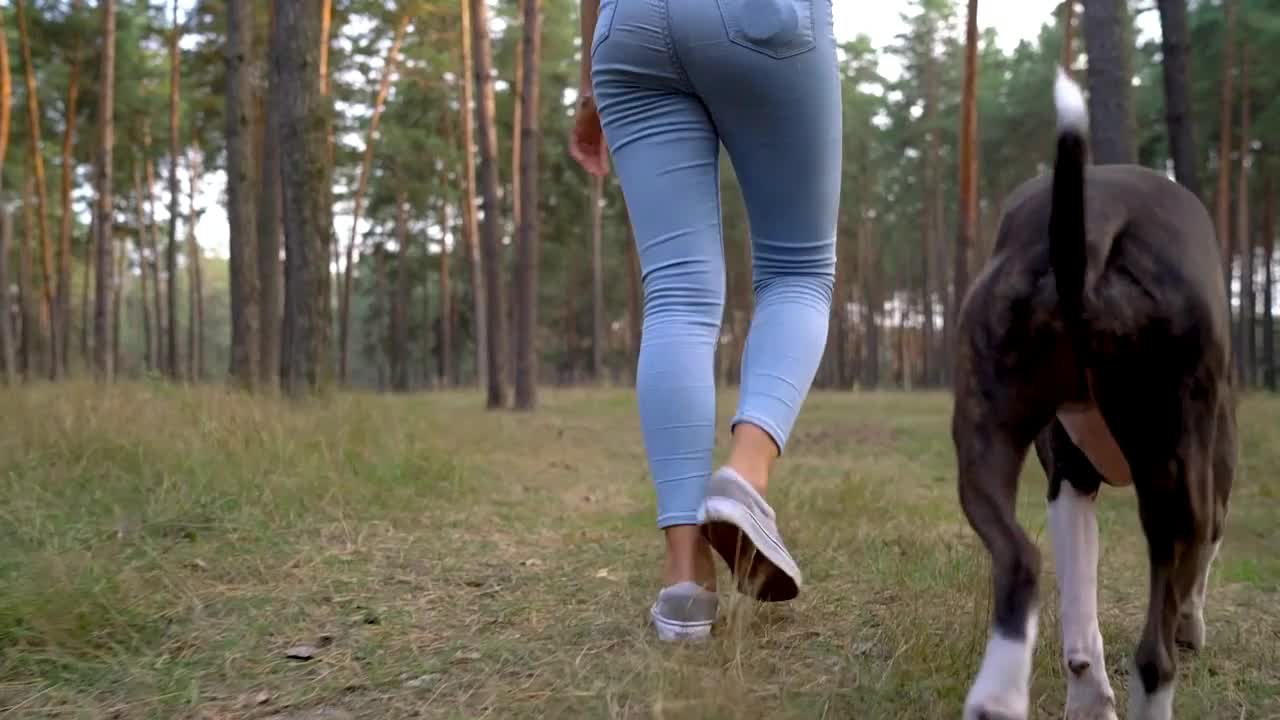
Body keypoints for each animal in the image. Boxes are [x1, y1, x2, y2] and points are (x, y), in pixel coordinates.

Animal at [957, 71, 1233, 717]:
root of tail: (1098, 212)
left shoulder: (1069, 482)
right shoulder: (1211, 489)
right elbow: (1203, 562)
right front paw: (1193, 623)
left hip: (983, 438)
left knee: (1021, 563)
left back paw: (1002, 698)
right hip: (1176, 480)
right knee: (1155, 658)